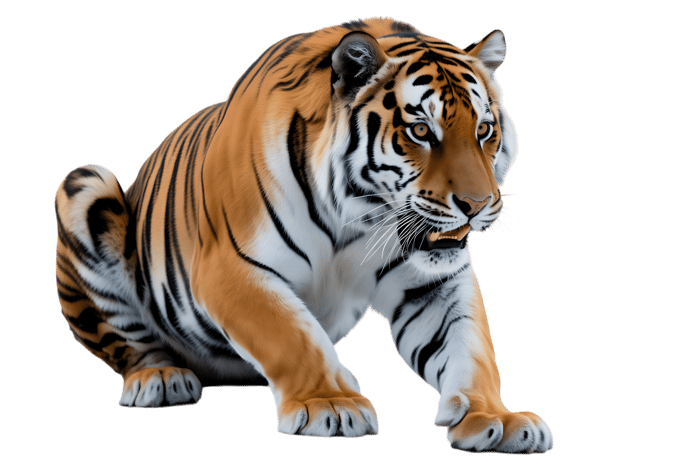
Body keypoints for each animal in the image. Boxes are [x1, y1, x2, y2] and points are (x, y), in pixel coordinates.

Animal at [54, 17, 553, 453]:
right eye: (420, 131)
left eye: (484, 130)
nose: (476, 205)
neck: (357, 218)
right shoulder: (231, 270)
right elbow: (292, 336)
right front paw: (329, 405)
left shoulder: (434, 283)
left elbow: (472, 348)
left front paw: (496, 419)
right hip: (86, 185)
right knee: (127, 343)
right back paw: (159, 378)